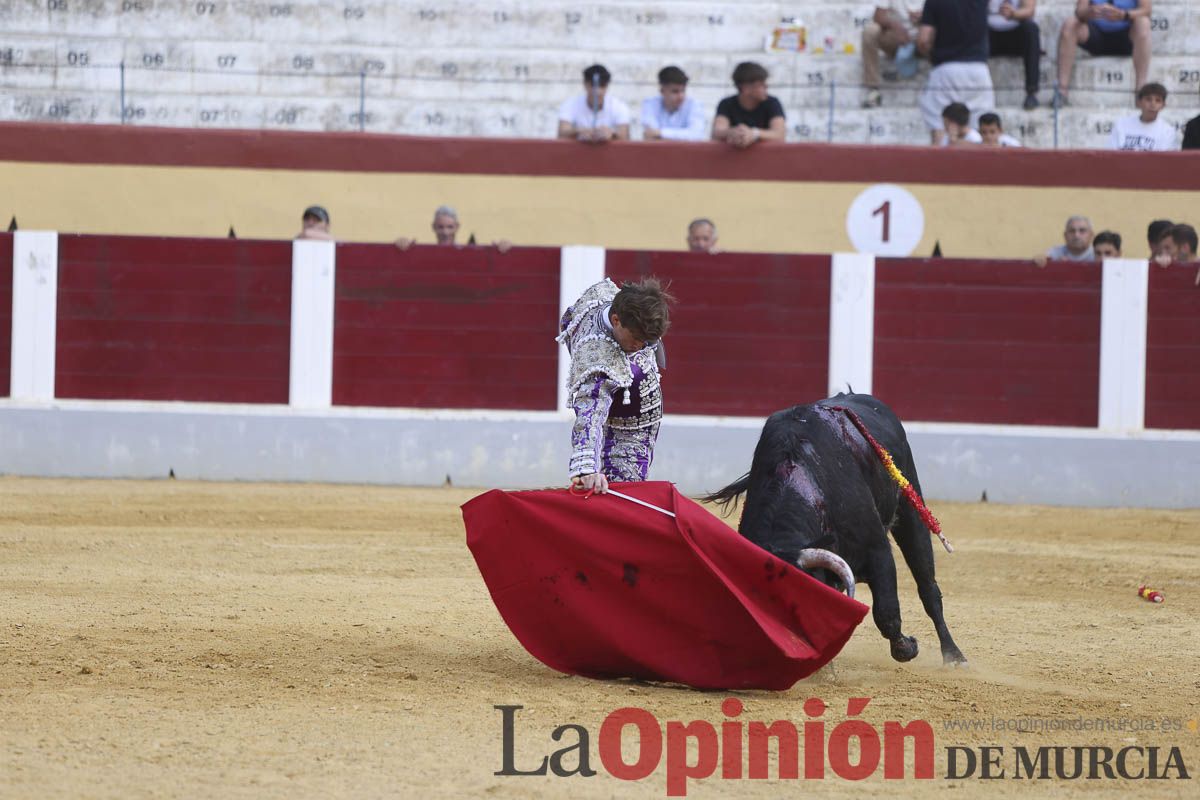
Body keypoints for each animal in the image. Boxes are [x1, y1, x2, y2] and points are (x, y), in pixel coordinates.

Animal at [705, 393, 969, 662]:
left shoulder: (877, 551)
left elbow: (886, 613)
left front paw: (908, 647)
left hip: (909, 506)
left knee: (927, 586)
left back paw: (954, 656)